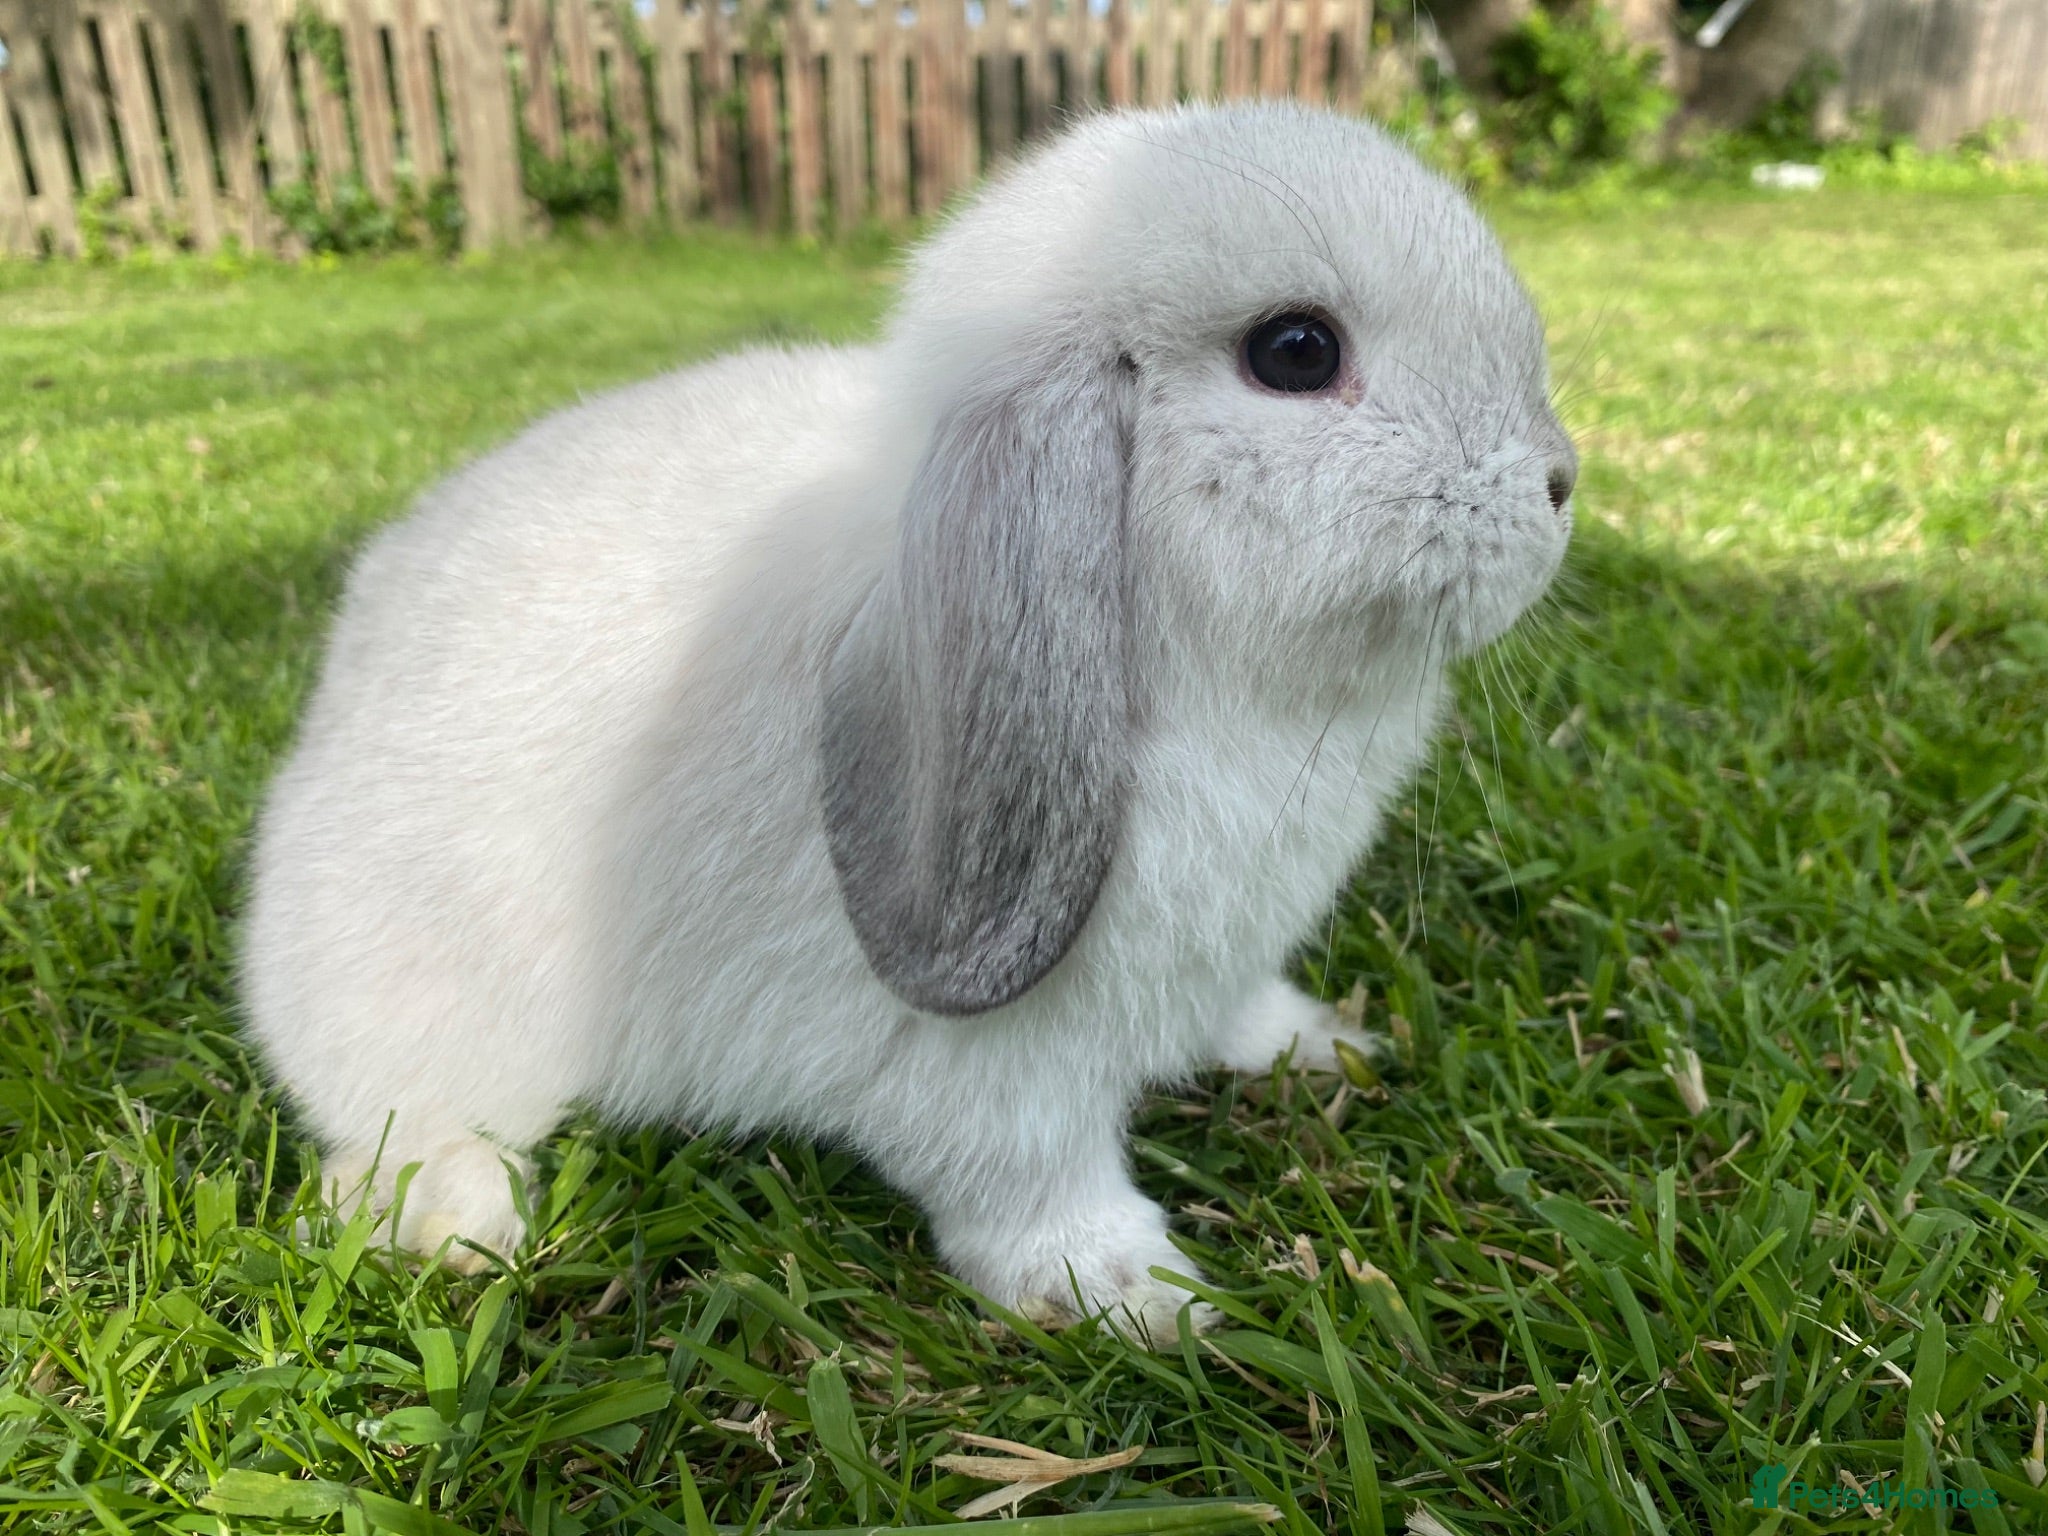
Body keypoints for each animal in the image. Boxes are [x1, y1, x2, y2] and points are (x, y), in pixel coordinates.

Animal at [241, 99, 1575, 1345]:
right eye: (1295, 351)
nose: (1560, 483)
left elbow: (1238, 1011)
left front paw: (1319, 1045)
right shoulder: (991, 1072)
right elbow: (1029, 1185)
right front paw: (1136, 1295)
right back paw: (461, 1225)